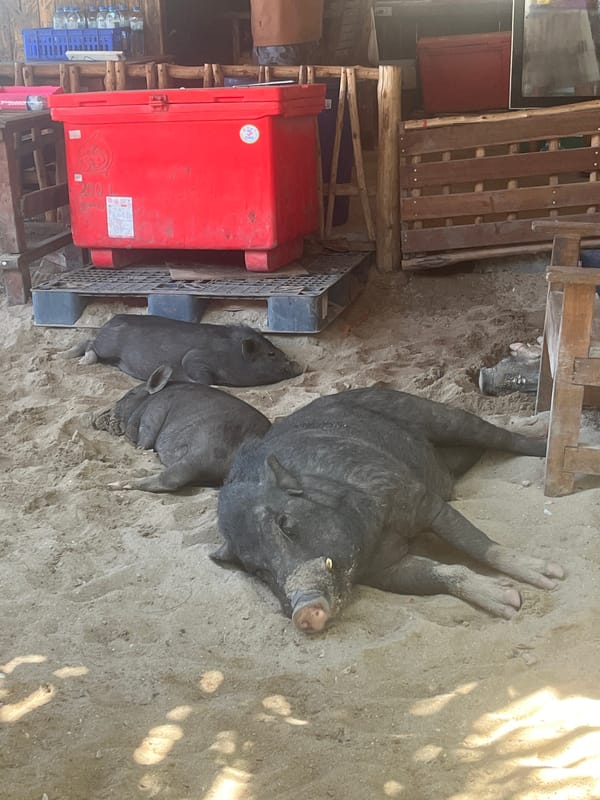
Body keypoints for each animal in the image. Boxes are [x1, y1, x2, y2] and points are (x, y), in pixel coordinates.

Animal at [65, 314, 302, 386]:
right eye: (271, 354)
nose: (300, 366)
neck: (232, 355)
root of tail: (109, 321)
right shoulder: (195, 359)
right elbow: (204, 378)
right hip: (108, 345)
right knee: (90, 344)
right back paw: (79, 360)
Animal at [93, 365, 271, 492]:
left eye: (130, 395)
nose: (94, 418)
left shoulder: (154, 412)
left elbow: (144, 440)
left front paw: (138, 447)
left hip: (203, 451)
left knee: (170, 480)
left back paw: (113, 485)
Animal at [212, 387, 564, 632]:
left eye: (286, 524)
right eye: (258, 570)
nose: (303, 613)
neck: (371, 535)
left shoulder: (419, 500)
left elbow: (476, 543)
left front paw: (550, 578)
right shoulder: (385, 570)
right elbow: (439, 573)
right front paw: (507, 602)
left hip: (435, 414)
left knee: (501, 434)